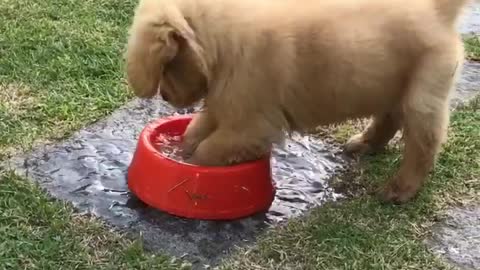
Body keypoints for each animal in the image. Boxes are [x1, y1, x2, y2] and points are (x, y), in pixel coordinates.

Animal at [125, 0, 466, 202]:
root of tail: (436, 12)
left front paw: (195, 164)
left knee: (424, 144)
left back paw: (401, 188)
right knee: (390, 117)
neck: (221, 43)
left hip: (423, 92)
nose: (165, 97)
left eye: (166, 67)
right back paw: (366, 143)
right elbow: (196, 129)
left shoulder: (251, 122)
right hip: (391, 82)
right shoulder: (224, 103)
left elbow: (209, 148)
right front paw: (183, 149)